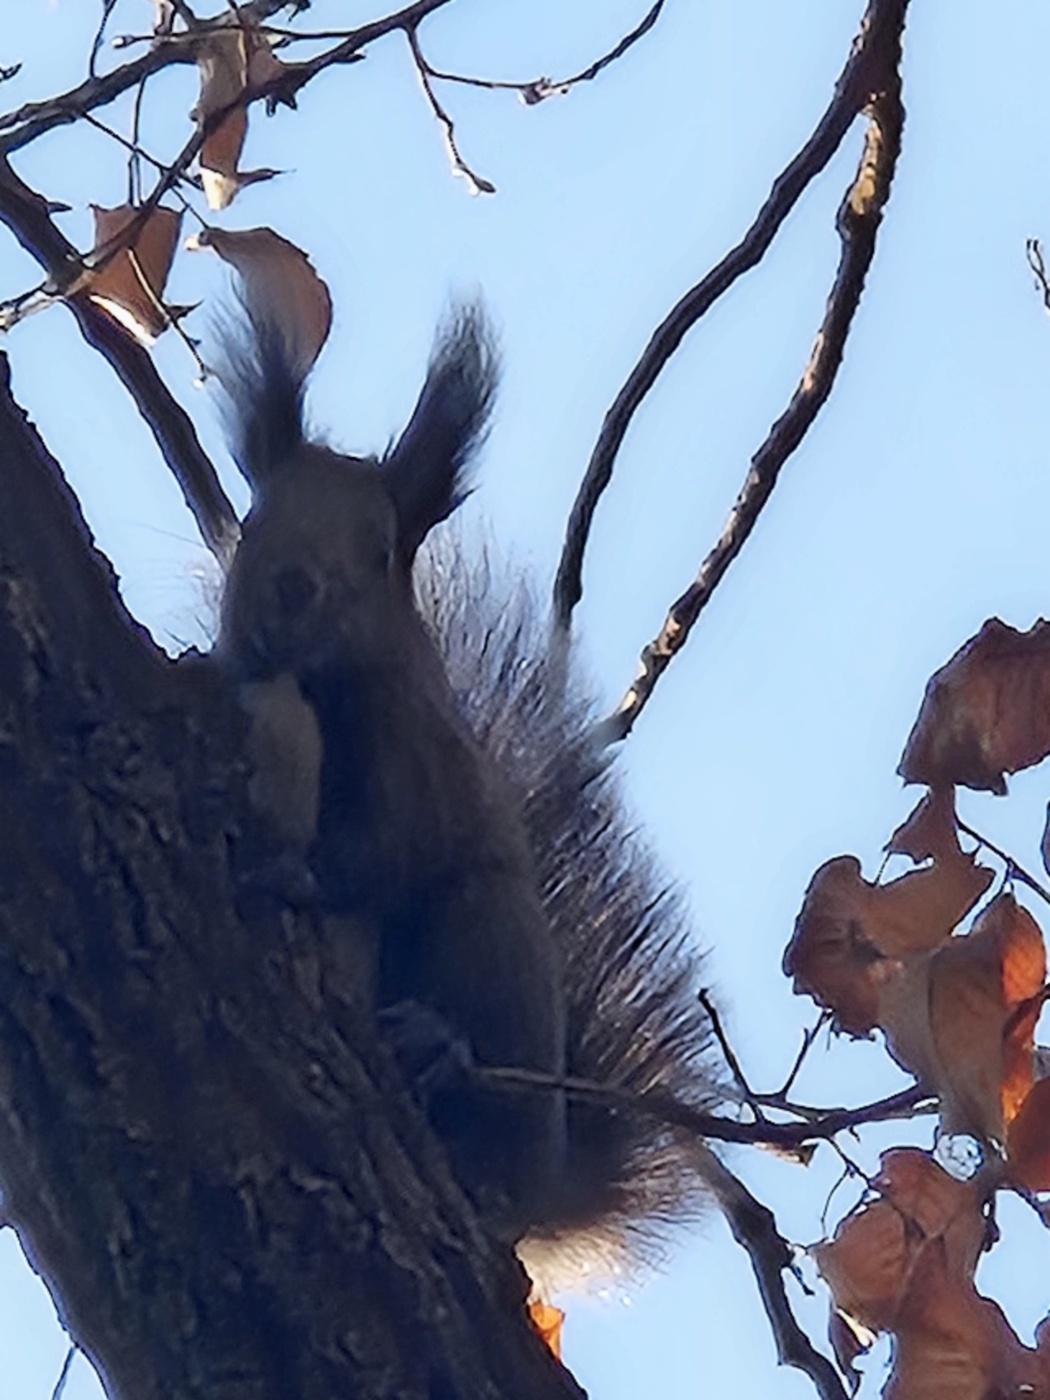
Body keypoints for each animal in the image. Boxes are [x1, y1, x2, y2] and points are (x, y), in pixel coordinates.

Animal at [214, 300, 725, 1287]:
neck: (319, 692)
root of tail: (549, 1183)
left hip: (488, 943)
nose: (292, 589)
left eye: (380, 551)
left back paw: (439, 1053)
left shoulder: (424, 769)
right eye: (251, 523)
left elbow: (386, 851)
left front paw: (302, 876)